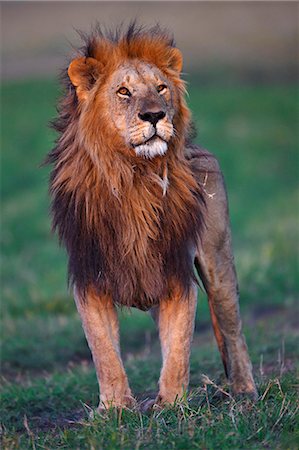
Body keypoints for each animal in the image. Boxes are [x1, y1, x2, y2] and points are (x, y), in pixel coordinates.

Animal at [47, 24, 258, 412]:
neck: (134, 177)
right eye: (124, 92)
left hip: (219, 264)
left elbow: (179, 348)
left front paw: (172, 404)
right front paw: (115, 408)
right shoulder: (90, 278)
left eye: (161, 88)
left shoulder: (175, 272)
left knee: (232, 329)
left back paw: (245, 391)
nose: (155, 115)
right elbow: (104, 351)